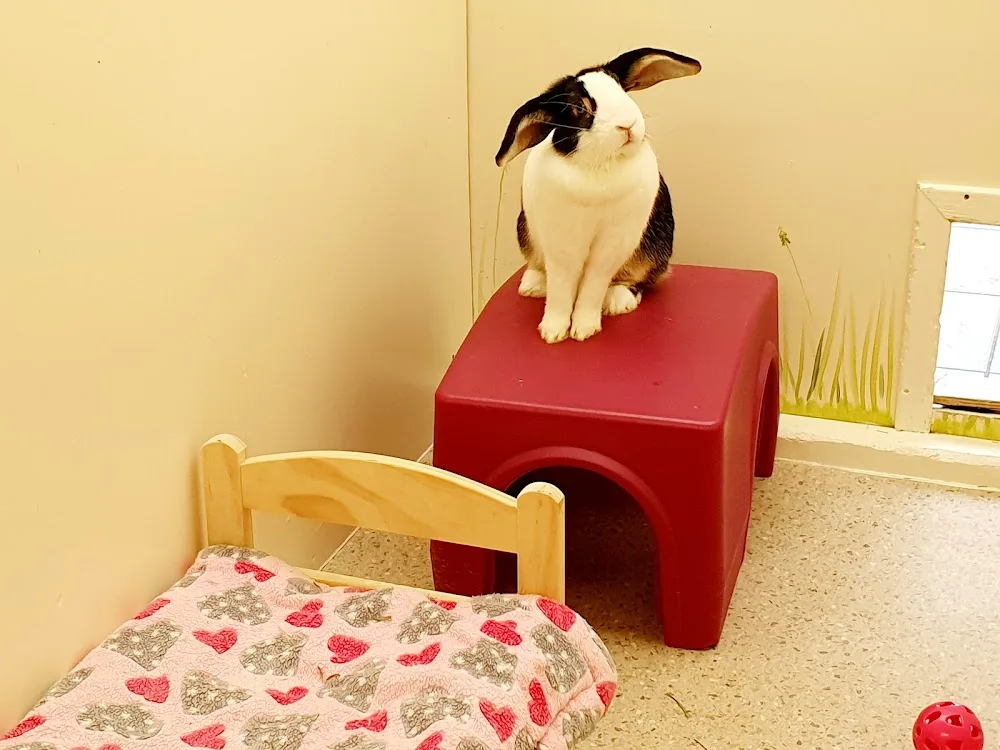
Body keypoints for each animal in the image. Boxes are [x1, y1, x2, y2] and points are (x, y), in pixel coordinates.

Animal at [495, 47, 701, 343]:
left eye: (622, 90)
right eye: (581, 109)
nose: (627, 125)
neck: (600, 164)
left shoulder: (613, 243)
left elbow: (594, 283)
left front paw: (584, 329)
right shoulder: (561, 242)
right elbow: (561, 286)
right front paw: (553, 332)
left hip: (654, 249)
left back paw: (618, 300)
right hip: (526, 232)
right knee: (542, 270)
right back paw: (533, 285)